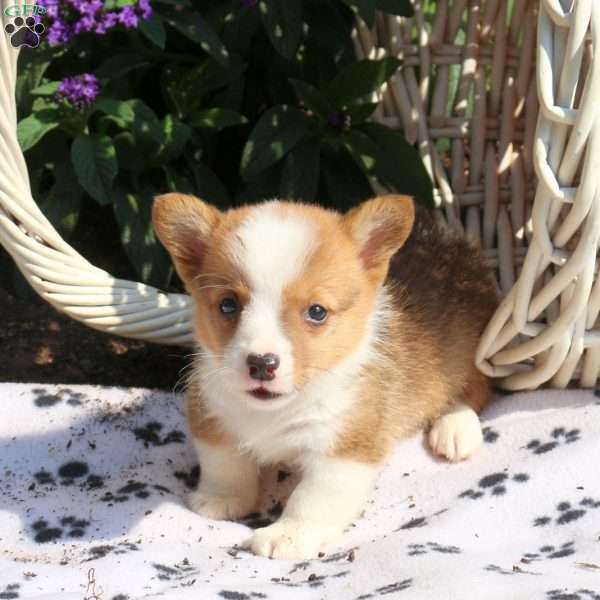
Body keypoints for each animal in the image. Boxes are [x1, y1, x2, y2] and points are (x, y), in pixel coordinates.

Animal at [154, 195, 496, 560]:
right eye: (228, 305)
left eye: (316, 312)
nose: (261, 363)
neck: (274, 413)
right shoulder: (211, 415)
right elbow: (224, 465)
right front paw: (220, 500)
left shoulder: (344, 451)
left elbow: (312, 498)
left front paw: (286, 535)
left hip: (468, 357)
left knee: (475, 392)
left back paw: (455, 431)